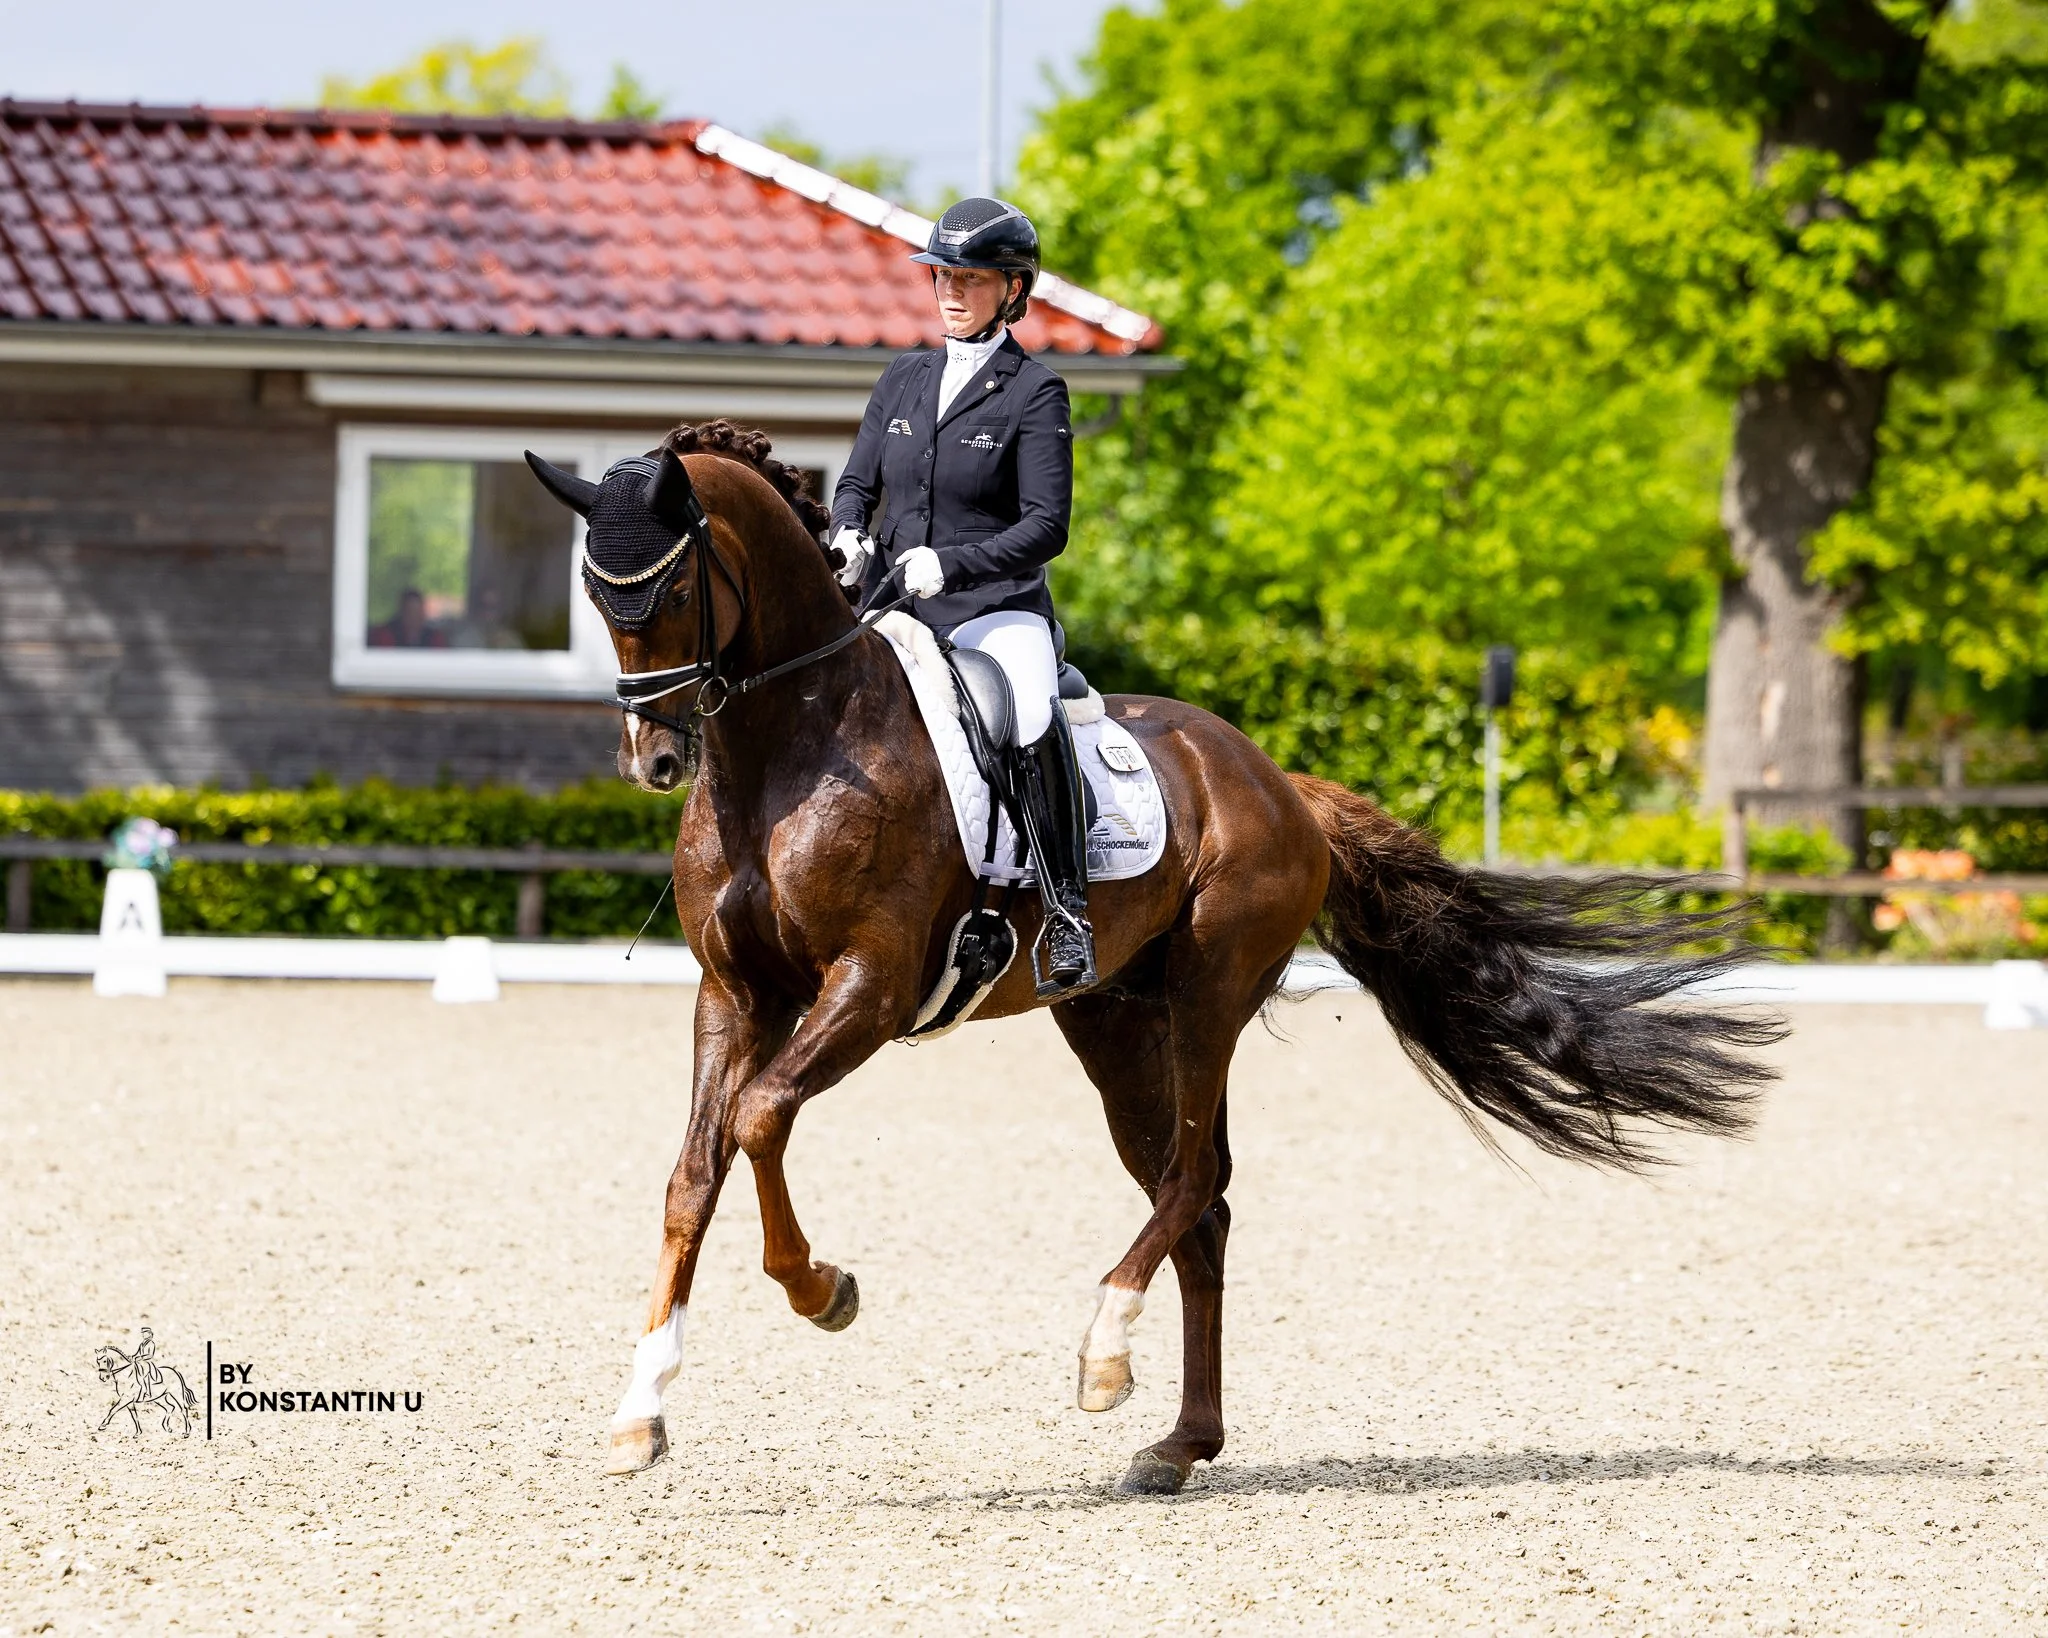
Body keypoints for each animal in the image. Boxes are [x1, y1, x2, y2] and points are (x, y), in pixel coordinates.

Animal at [528, 420, 1781, 1495]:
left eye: (671, 589)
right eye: (594, 591)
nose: (653, 758)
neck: (786, 746)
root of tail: (1279, 781)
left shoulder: (869, 988)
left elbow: (760, 1118)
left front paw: (822, 1290)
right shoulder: (733, 995)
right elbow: (692, 1174)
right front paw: (639, 1414)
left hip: (1207, 992)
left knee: (1191, 1182)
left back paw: (1104, 1351)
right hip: (1111, 1020)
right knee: (1199, 1207)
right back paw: (1179, 1443)